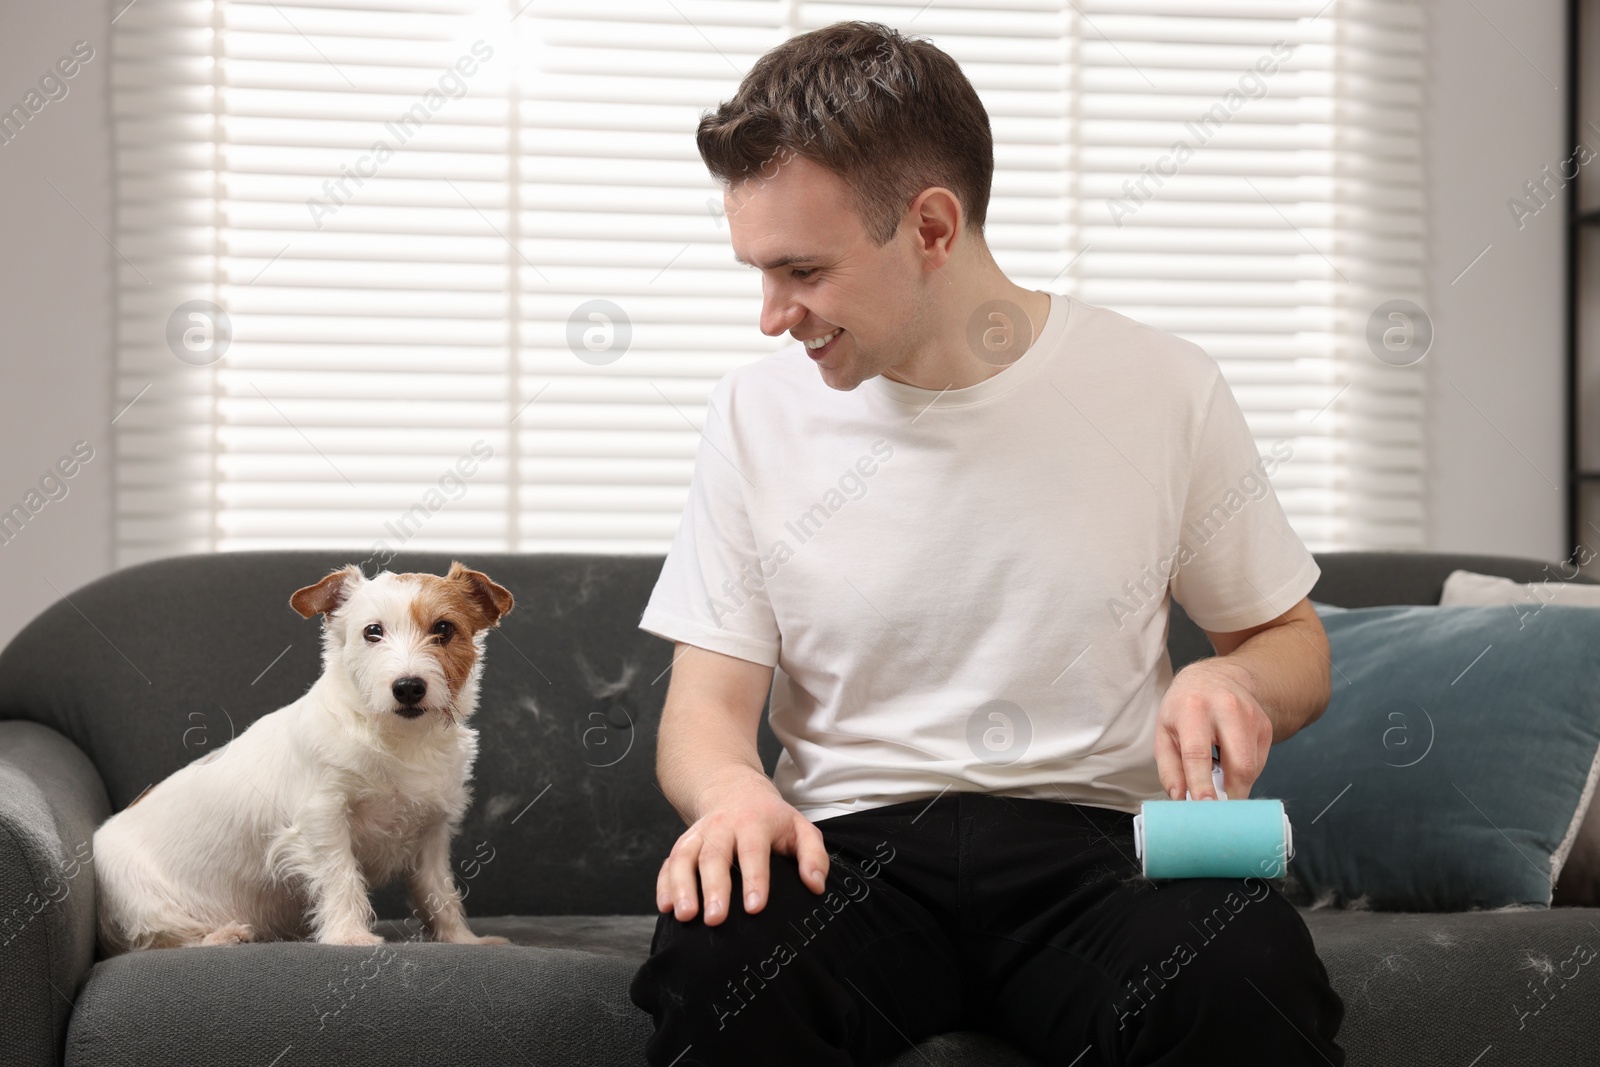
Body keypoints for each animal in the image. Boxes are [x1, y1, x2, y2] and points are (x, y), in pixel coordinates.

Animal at [93, 563, 515, 953]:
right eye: (372, 631)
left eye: (443, 629)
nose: (408, 687)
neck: (398, 739)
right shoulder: (323, 818)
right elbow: (342, 878)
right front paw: (349, 936)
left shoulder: (431, 835)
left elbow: (440, 893)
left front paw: (461, 939)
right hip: (148, 905)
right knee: (165, 940)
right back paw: (222, 935)